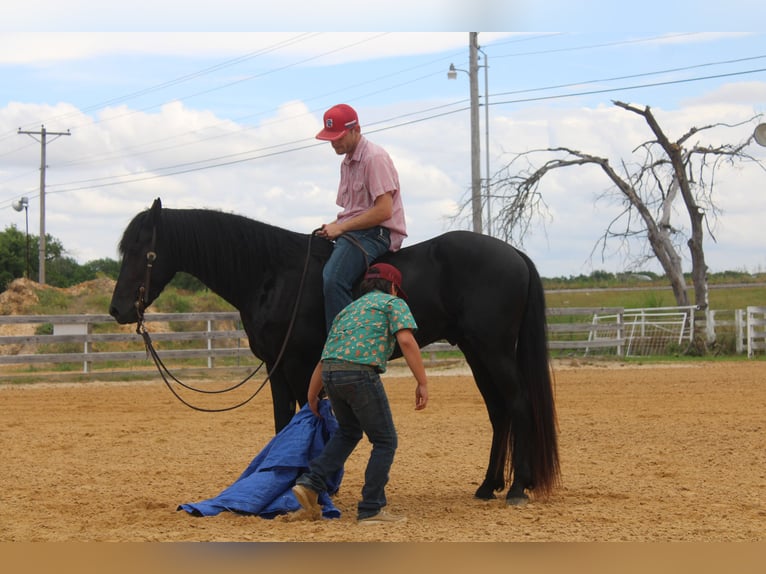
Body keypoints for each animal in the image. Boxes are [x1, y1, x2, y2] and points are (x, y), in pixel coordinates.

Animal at [109, 198, 560, 505]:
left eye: (143, 251)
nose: (117, 310)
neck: (272, 274)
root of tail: (514, 253)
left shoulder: (296, 364)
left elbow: (301, 419)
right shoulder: (276, 367)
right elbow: (284, 422)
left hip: (493, 349)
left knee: (518, 405)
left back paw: (518, 488)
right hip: (476, 350)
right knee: (499, 411)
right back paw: (488, 485)